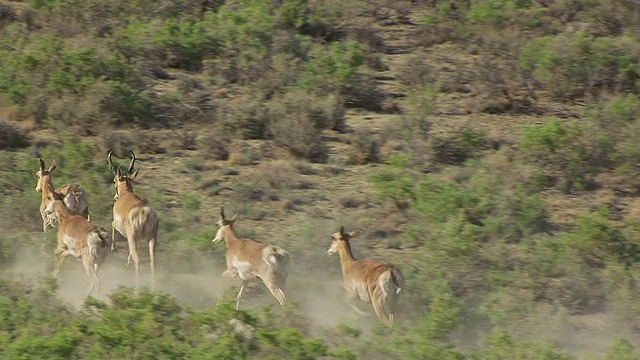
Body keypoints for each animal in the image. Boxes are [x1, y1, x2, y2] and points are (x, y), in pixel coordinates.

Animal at [107, 150, 158, 290]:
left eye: (114, 180)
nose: (115, 196)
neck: (126, 194)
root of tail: (144, 212)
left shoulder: (117, 225)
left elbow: (112, 225)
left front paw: (113, 248)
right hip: (151, 239)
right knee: (152, 261)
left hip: (132, 237)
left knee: (138, 260)